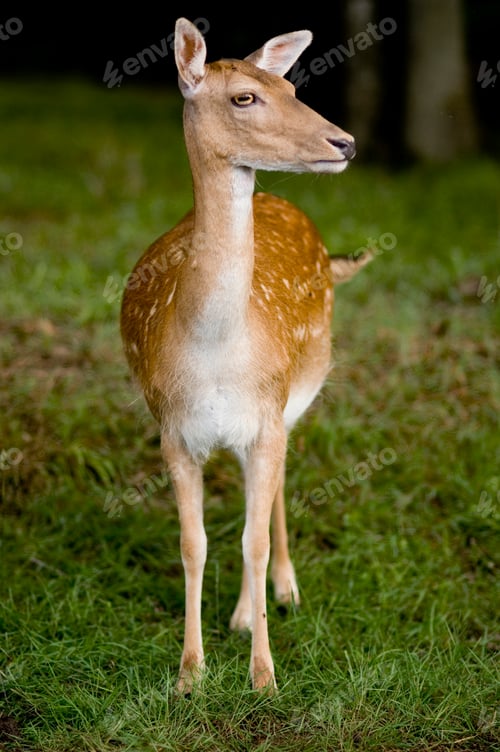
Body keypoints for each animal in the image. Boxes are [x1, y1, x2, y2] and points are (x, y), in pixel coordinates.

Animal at [120, 17, 372, 694]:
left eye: (291, 86)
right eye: (244, 97)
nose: (345, 142)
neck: (215, 354)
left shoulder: (266, 419)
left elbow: (252, 542)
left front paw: (264, 676)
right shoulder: (175, 431)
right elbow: (194, 543)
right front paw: (190, 674)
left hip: (296, 393)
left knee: (277, 491)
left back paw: (281, 592)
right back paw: (238, 615)